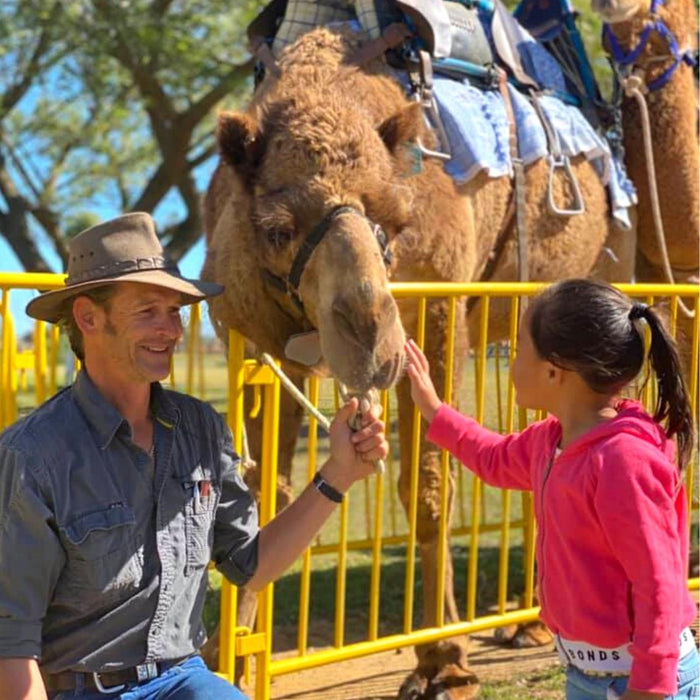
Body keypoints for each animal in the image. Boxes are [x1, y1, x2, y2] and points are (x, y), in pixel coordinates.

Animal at [200, 26, 636, 696]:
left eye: (395, 221)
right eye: (276, 229)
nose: (369, 338)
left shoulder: (439, 303)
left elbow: (430, 485)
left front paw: (446, 662)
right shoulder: (251, 334)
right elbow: (259, 487)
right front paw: (232, 658)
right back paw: (531, 623)